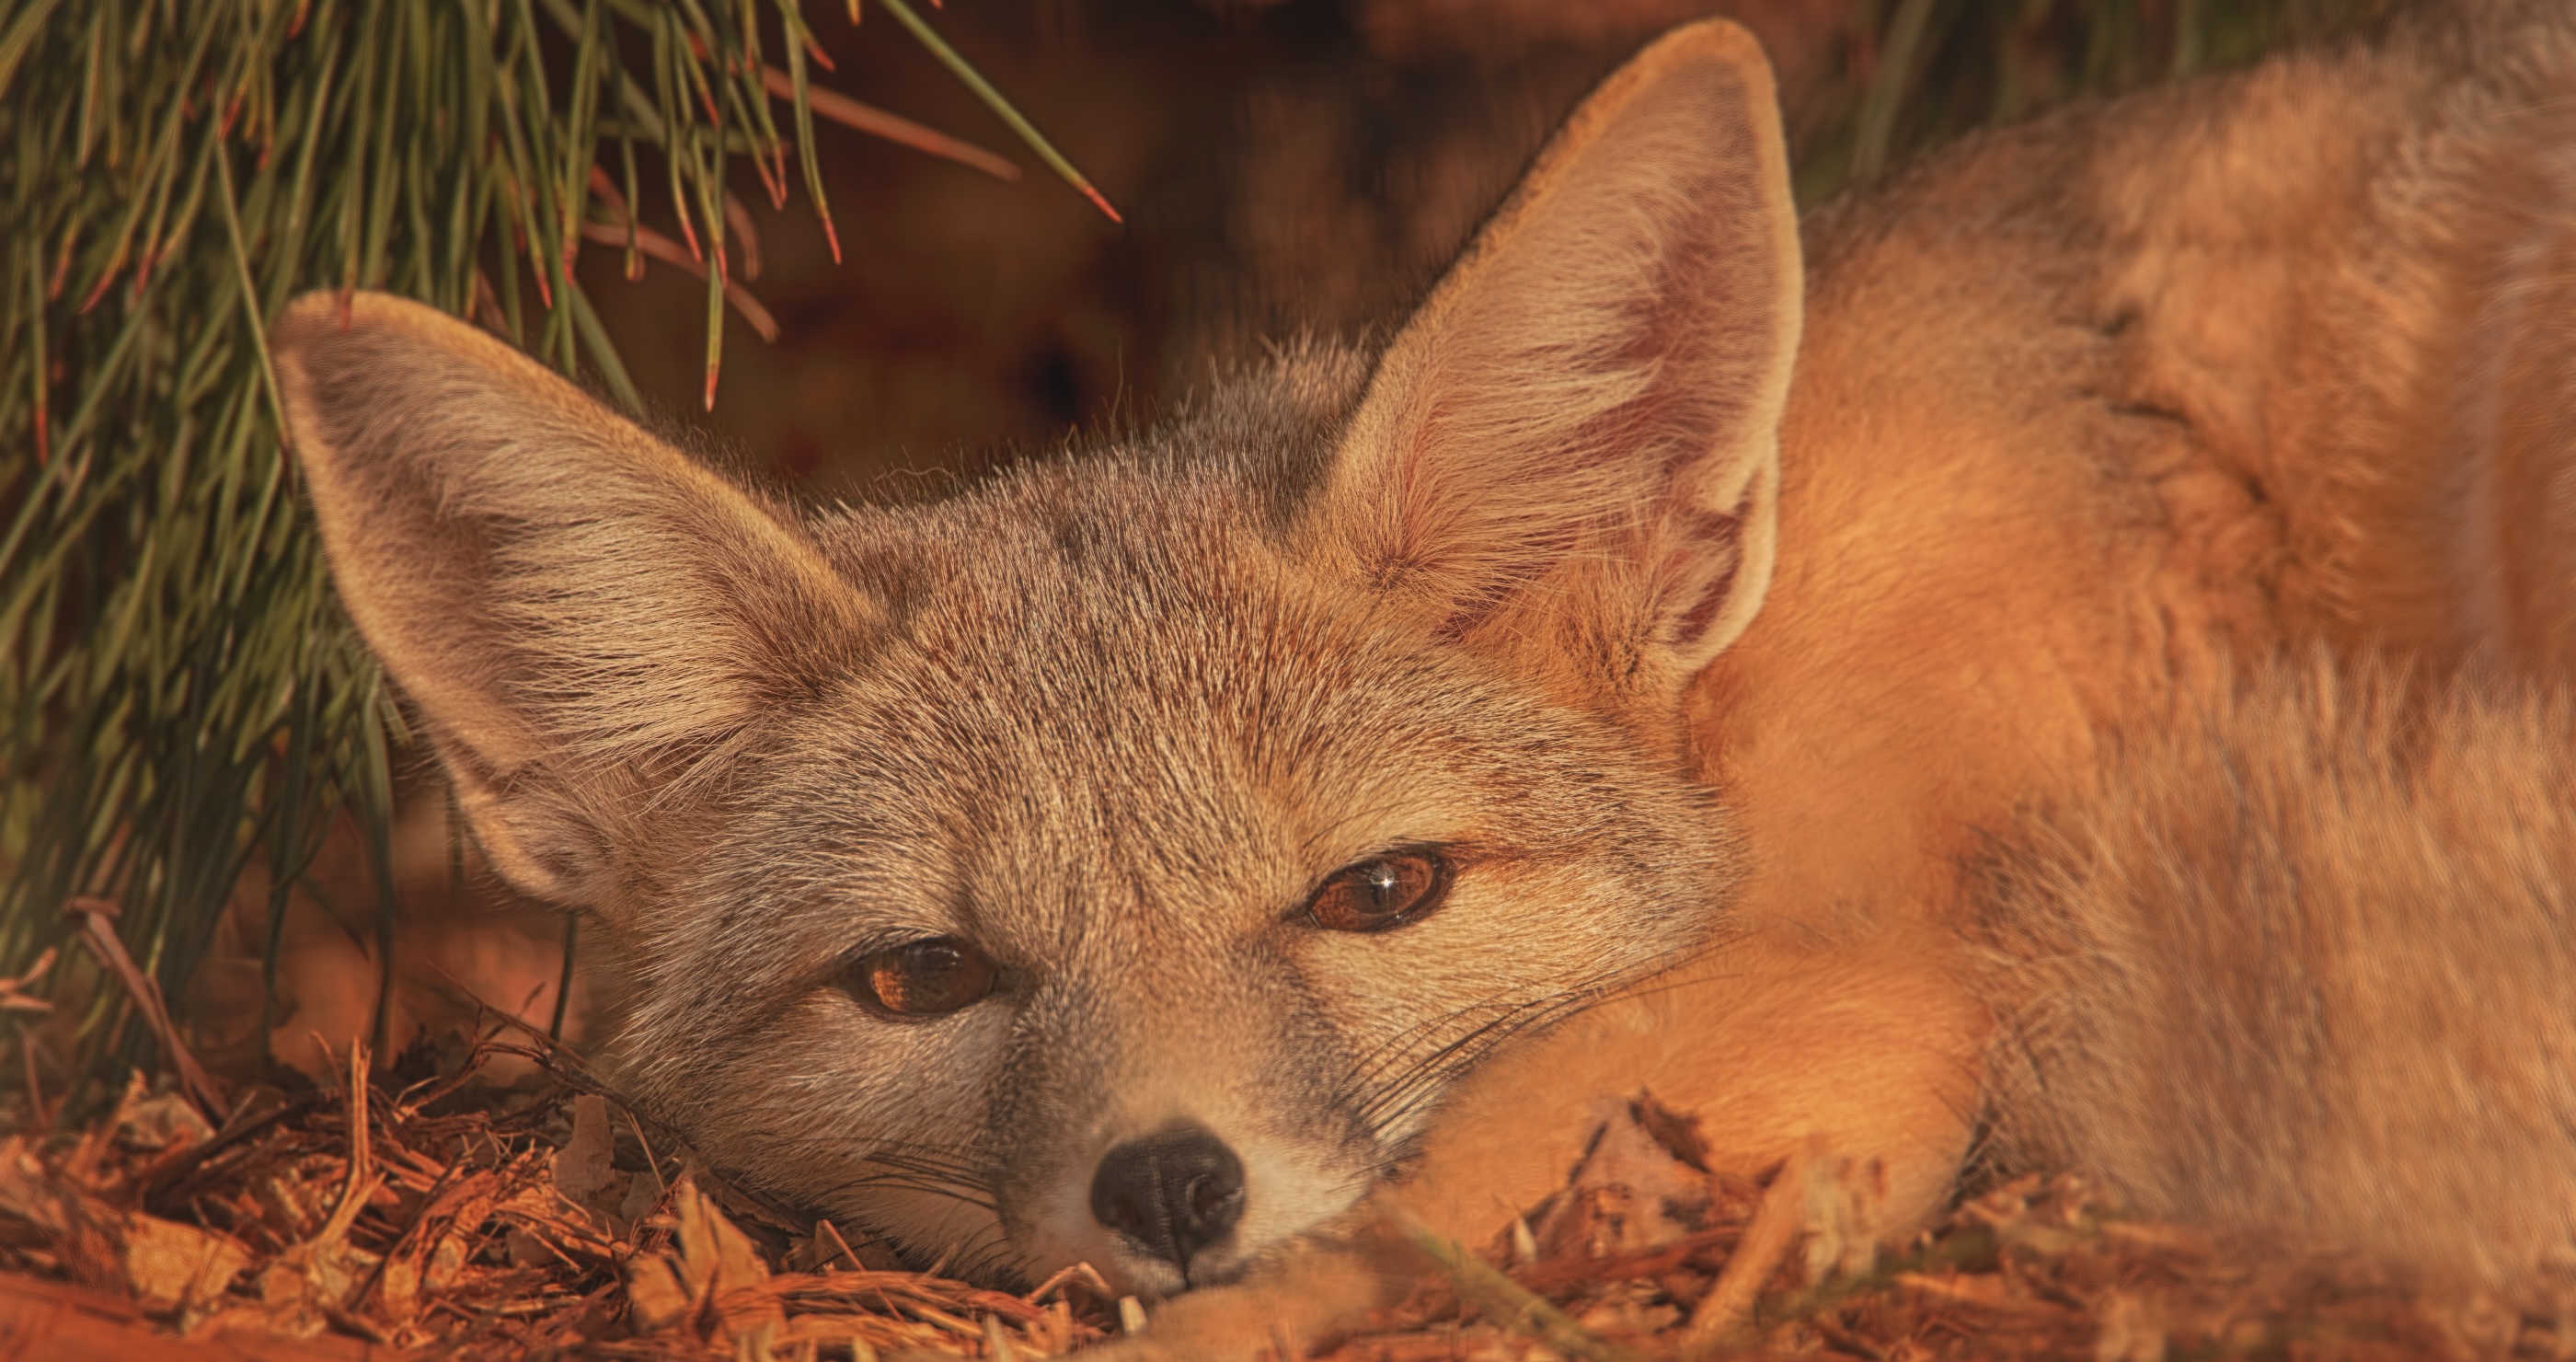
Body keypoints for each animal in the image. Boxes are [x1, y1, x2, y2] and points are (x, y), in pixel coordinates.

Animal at [263, 0, 2576, 1353]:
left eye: (1379, 893)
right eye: (922, 978)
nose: (1167, 1182)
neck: (1744, 694)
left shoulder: (1857, 991)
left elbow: (1325, 1272)